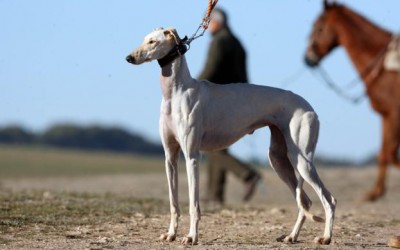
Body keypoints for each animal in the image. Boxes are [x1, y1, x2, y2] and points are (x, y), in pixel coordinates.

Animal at [126, 27, 336, 246]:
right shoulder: (170, 157)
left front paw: (192, 236)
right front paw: (171, 234)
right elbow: (173, 203)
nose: (129, 58)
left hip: (301, 160)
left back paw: (326, 237)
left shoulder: (192, 156)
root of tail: (309, 106)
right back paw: (292, 236)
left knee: (329, 199)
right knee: (305, 201)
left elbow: (194, 204)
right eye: (144, 39)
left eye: (153, 42)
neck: (175, 92)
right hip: (279, 160)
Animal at [304, 0, 398, 201]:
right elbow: (384, 153)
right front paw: (375, 193)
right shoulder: (386, 115)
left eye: (318, 27)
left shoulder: (394, 113)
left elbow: (390, 154)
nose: (307, 58)